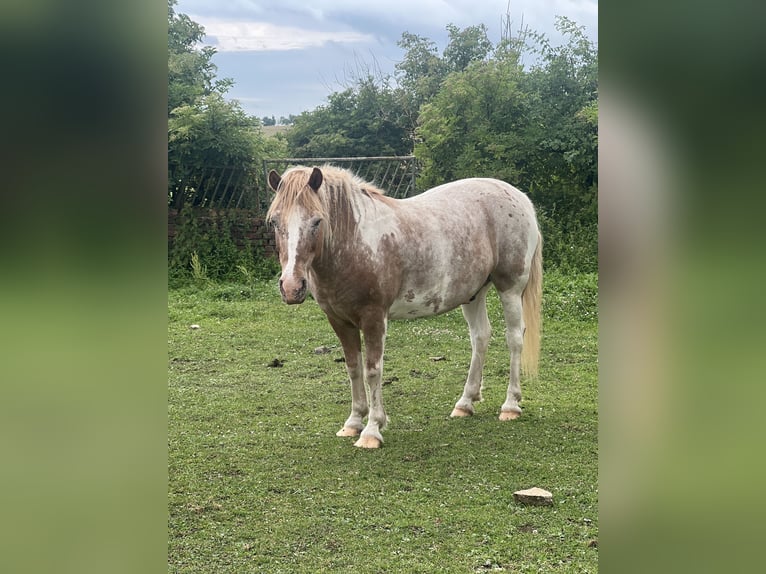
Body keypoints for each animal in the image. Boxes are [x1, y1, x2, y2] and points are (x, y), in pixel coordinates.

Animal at [266, 165, 542, 448]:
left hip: (511, 289)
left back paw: (510, 405)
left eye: (317, 221)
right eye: (274, 221)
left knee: (514, 338)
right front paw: (353, 423)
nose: (291, 287)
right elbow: (353, 368)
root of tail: (520, 198)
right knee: (481, 337)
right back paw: (465, 403)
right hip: (473, 294)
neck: (355, 241)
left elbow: (373, 370)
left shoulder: (374, 317)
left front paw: (372, 430)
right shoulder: (339, 321)